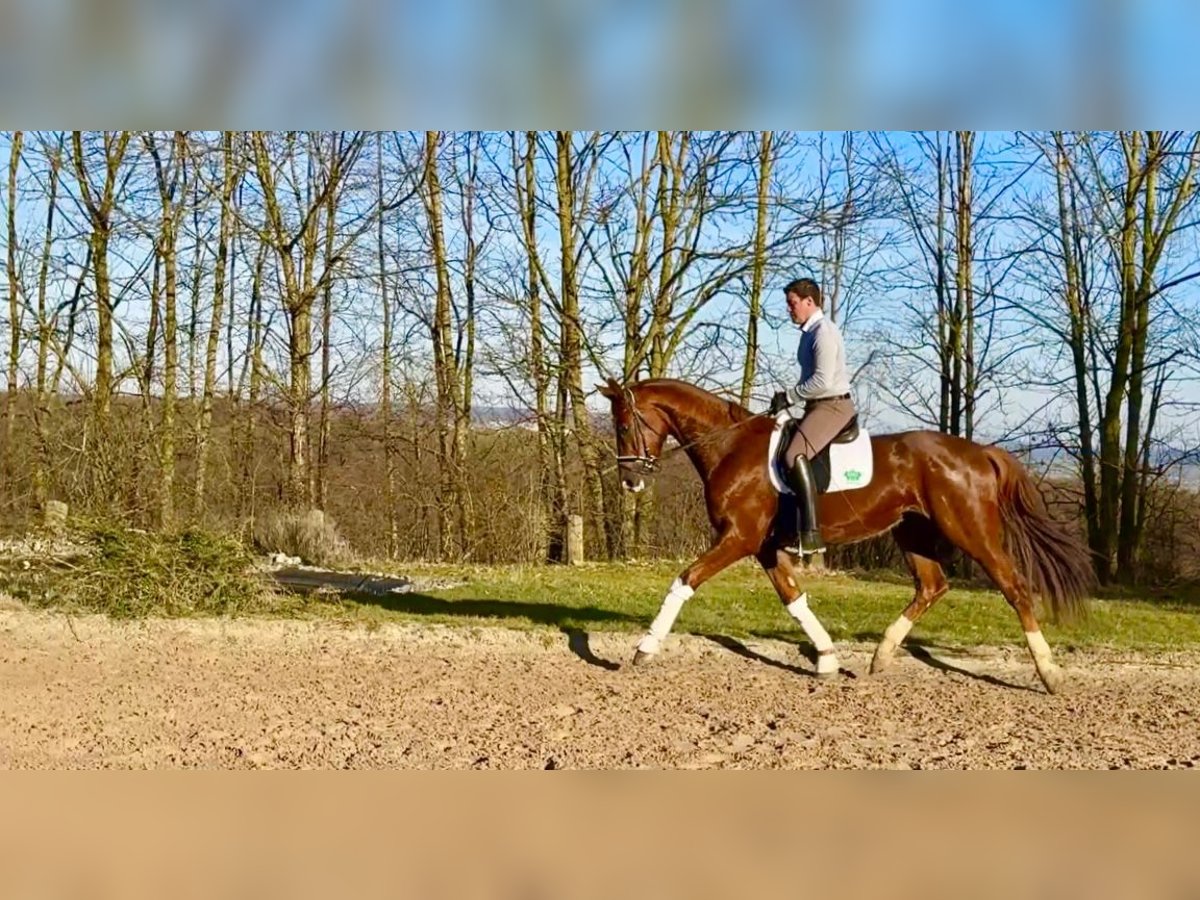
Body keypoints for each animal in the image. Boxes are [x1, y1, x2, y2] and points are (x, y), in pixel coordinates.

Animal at [600, 376, 1099, 696]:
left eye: (624, 425)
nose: (630, 481)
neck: (730, 446)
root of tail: (980, 452)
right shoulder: (764, 546)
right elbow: (794, 599)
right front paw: (827, 659)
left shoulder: (739, 538)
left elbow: (685, 580)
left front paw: (645, 647)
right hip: (913, 532)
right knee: (932, 586)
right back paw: (881, 656)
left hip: (970, 529)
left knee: (1015, 588)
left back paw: (1049, 674)